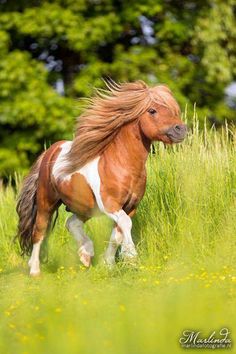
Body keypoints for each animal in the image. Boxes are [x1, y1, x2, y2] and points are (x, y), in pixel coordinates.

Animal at [16, 79, 186, 276]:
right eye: (152, 110)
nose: (182, 130)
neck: (120, 164)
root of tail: (51, 151)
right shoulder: (110, 204)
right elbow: (125, 225)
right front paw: (131, 256)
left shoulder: (129, 207)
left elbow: (117, 234)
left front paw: (108, 264)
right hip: (46, 203)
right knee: (39, 231)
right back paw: (35, 270)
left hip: (84, 206)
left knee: (71, 222)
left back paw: (86, 254)